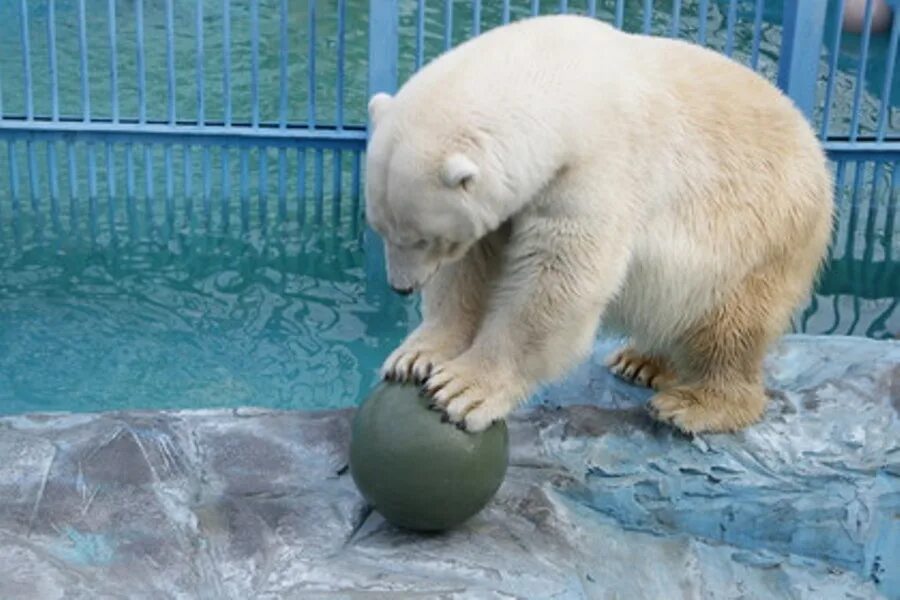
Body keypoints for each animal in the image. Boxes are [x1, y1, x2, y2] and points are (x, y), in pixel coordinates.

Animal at [362, 14, 832, 434]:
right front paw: (416, 357)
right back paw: (642, 362)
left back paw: (695, 405)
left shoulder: (598, 169)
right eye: (380, 228)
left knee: (729, 327)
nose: (400, 287)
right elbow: (472, 268)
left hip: (766, 238)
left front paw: (463, 389)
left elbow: (557, 283)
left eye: (424, 238)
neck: (562, 74)